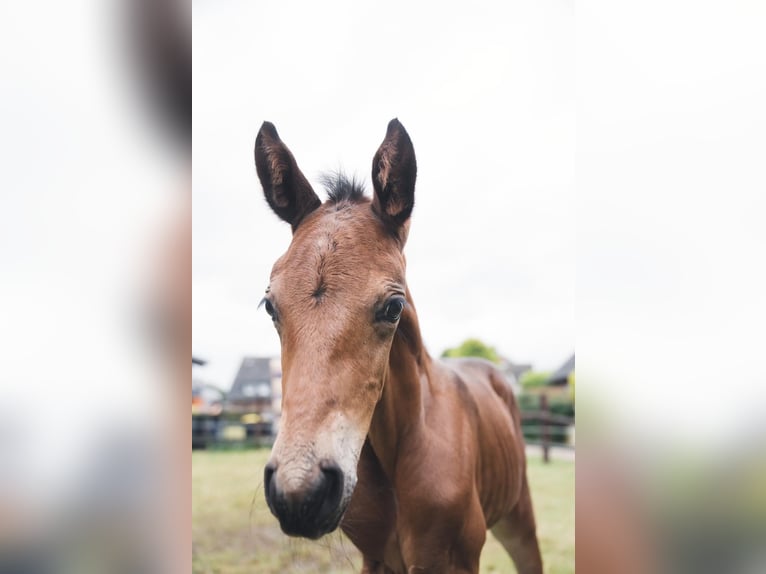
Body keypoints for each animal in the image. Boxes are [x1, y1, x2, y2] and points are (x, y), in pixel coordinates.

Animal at [255, 119, 544, 572]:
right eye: (270, 304)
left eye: (393, 307)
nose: (300, 492)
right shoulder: (376, 559)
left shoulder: (455, 560)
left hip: (520, 518)